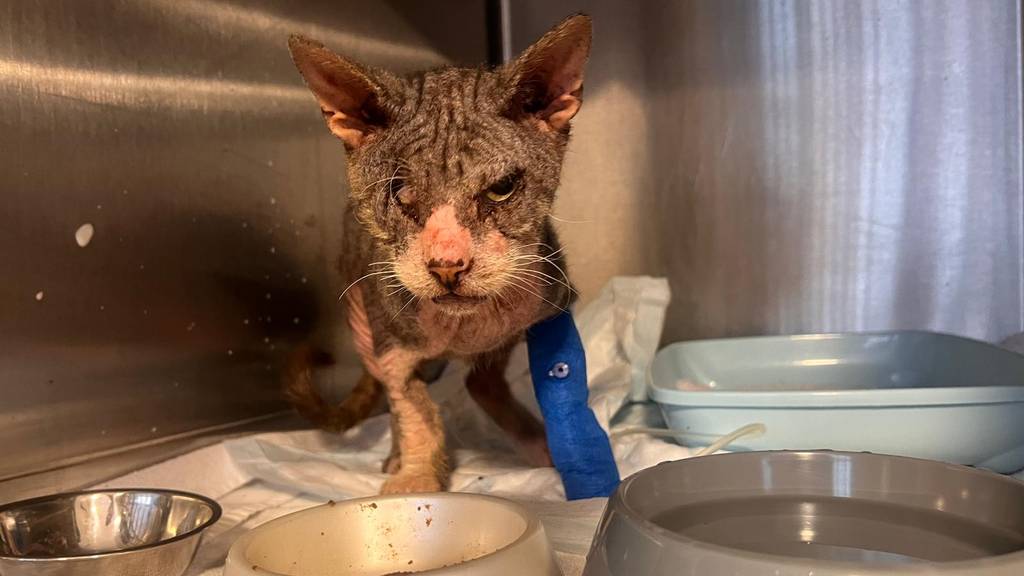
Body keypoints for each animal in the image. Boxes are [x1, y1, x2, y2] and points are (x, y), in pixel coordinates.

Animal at [286, 13, 593, 491]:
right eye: (401, 193)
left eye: (502, 188)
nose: (448, 266)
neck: (463, 330)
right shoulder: (392, 349)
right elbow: (415, 411)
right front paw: (414, 481)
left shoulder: (554, 309)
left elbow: (562, 385)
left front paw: (575, 457)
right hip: (364, 323)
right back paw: (398, 457)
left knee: (482, 383)